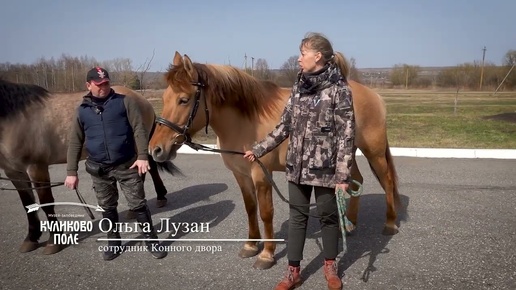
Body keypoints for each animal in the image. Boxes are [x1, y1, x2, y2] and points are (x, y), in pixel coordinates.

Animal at [0, 78, 176, 254]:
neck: (16, 117)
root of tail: (141, 99)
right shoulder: (14, 172)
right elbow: (27, 204)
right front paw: (31, 239)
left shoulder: (37, 167)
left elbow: (46, 203)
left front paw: (53, 241)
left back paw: (157, 199)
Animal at [147, 51, 402, 270]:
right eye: (164, 97)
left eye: (184, 100)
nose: (156, 149)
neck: (245, 120)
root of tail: (374, 95)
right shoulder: (240, 175)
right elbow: (250, 209)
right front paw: (251, 245)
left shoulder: (261, 175)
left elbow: (266, 212)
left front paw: (266, 255)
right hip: (346, 154)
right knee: (356, 181)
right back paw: (349, 224)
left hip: (373, 151)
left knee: (387, 181)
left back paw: (389, 224)